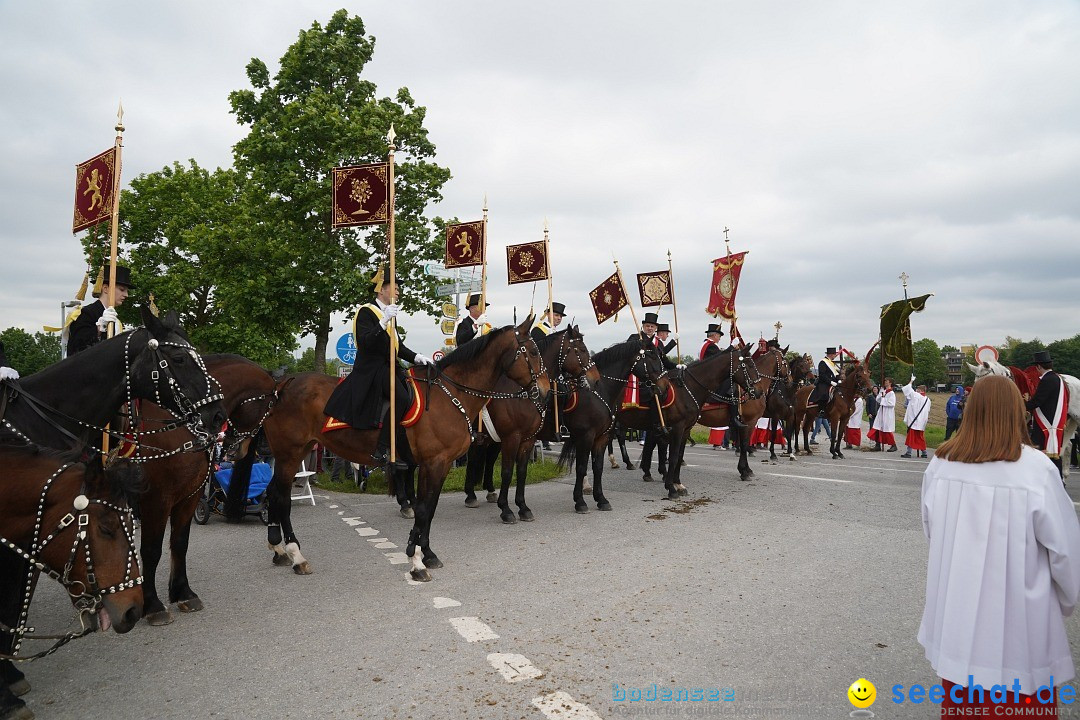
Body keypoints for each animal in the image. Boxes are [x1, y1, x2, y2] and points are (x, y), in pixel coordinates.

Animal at [132, 354, 278, 626]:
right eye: (269, 408)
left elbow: (180, 543)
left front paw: (183, 593)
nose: (242, 448)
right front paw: (153, 605)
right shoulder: (156, 500)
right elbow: (151, 550)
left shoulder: (189, 495)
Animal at [225, 317, 548, 582]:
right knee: (281, 498)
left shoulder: (439, 465)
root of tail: (280, 385)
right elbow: (422, 508)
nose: (544, 391)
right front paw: (416, 561)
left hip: (293, 453)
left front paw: (427, 553)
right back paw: (296, 555)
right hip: (290, 454)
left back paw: (278, 548)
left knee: (271, 493)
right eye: (533, 352)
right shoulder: (435, 462)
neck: (451, 395)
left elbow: (429, 509)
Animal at [462, 325, 604, 524]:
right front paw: (506, 510)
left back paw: (487, 492)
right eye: (582, 350)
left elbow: (521, 472)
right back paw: (470, 496)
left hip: (490, 438)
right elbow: (507, 472)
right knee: (474, 458)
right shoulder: (512, 437)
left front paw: (522, 507)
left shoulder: (527, 439)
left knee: (487, 460)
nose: (596, 380)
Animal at [552, 336, 669, 511]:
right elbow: (581, 466)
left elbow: (597, 466)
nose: (666, 386)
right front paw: (580, 501)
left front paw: (601, 499)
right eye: (652, 356)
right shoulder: (585, 436)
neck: (598, 389)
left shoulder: (601, 435)